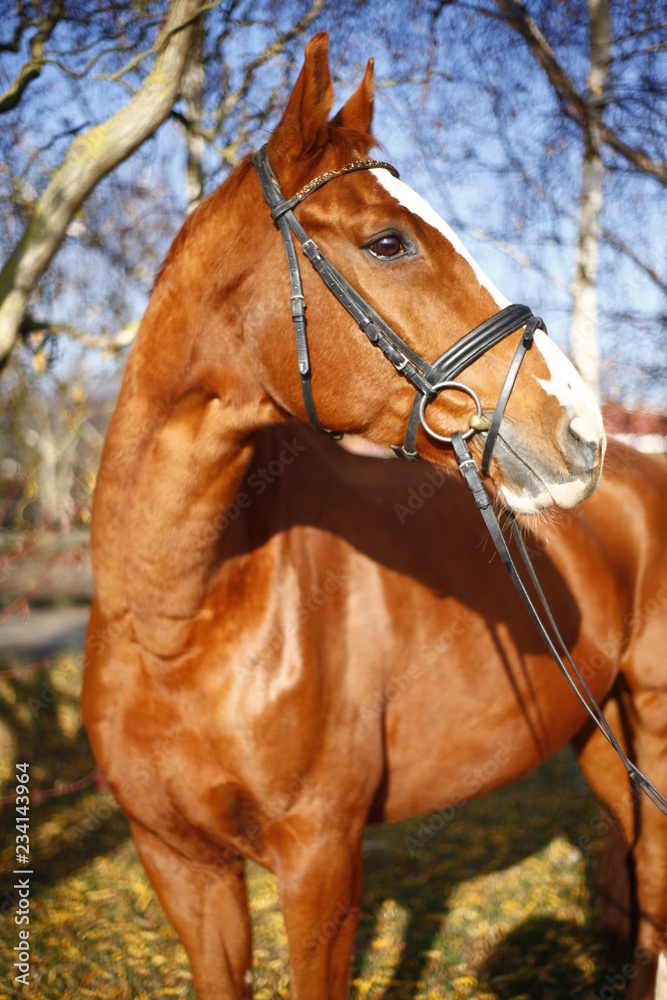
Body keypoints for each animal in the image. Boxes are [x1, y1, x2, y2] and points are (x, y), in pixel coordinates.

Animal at [81, 32, 667, 1000]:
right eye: (387, 242)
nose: (579, 430)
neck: (179, 620)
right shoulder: (180, 865)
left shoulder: (321, 863)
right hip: (594, 724)